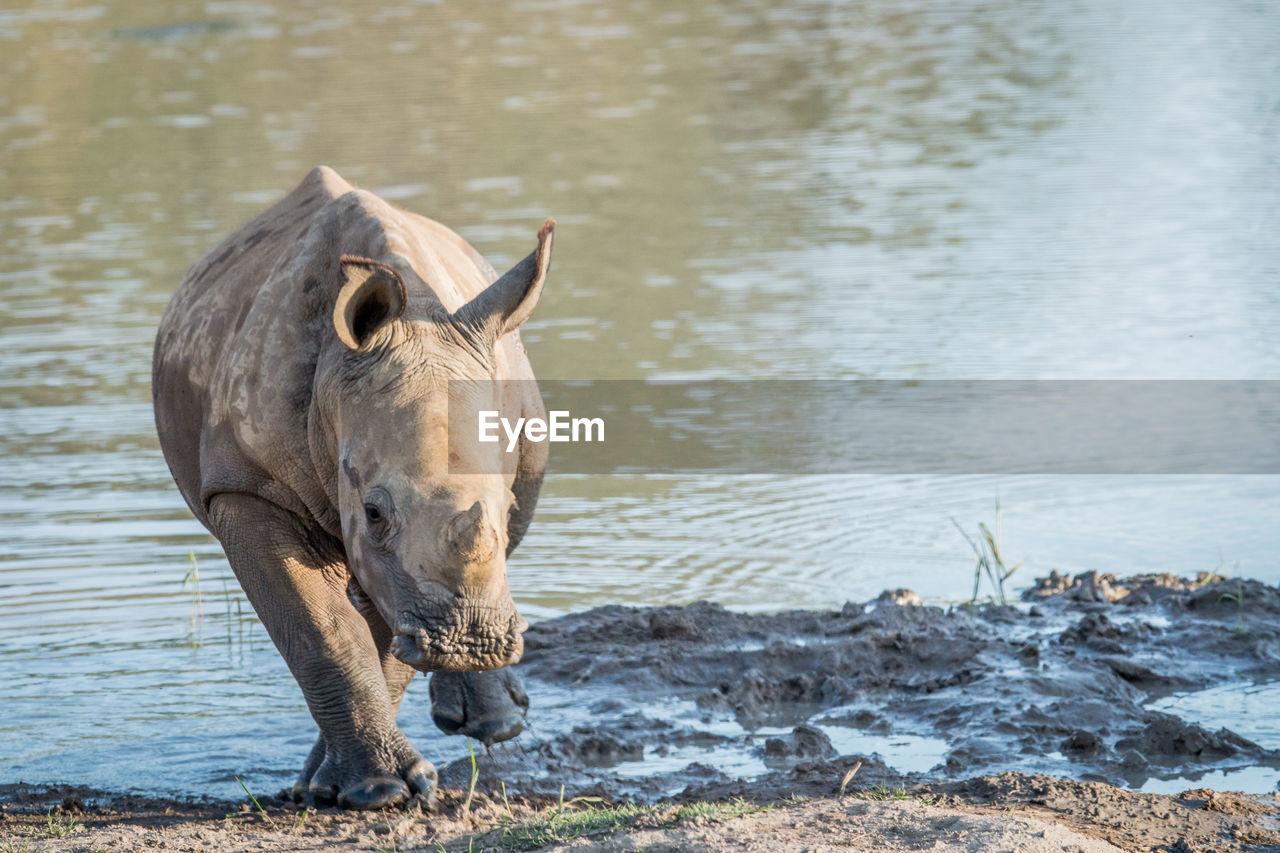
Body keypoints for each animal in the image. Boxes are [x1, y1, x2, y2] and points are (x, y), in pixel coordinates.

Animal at [151, 166, 550, 804]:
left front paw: (354, 787)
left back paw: (492, 724)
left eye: (508, 502)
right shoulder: (247, 484)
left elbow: (388, 638)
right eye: (374, 512)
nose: (471, 639)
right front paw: (374, 791)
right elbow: (323, 630)